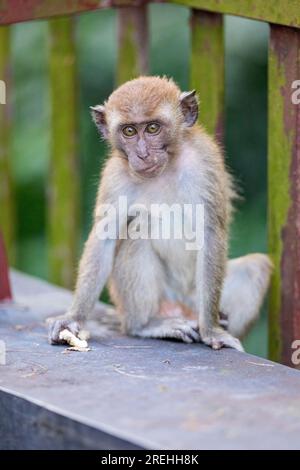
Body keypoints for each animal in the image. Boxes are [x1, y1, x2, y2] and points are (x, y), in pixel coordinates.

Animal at [48, 76, 274, 348]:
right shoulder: (115, 177)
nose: (142, 154)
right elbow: (104, 238)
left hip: (195, 297)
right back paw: (146, 325)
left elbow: (210, 235)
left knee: (255, 267)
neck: (166, 167)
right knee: (139, 230)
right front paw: (73, 317)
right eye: (129, 131)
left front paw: (212, 330)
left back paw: (215, 321)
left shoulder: (205, 163)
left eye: (153, 128)